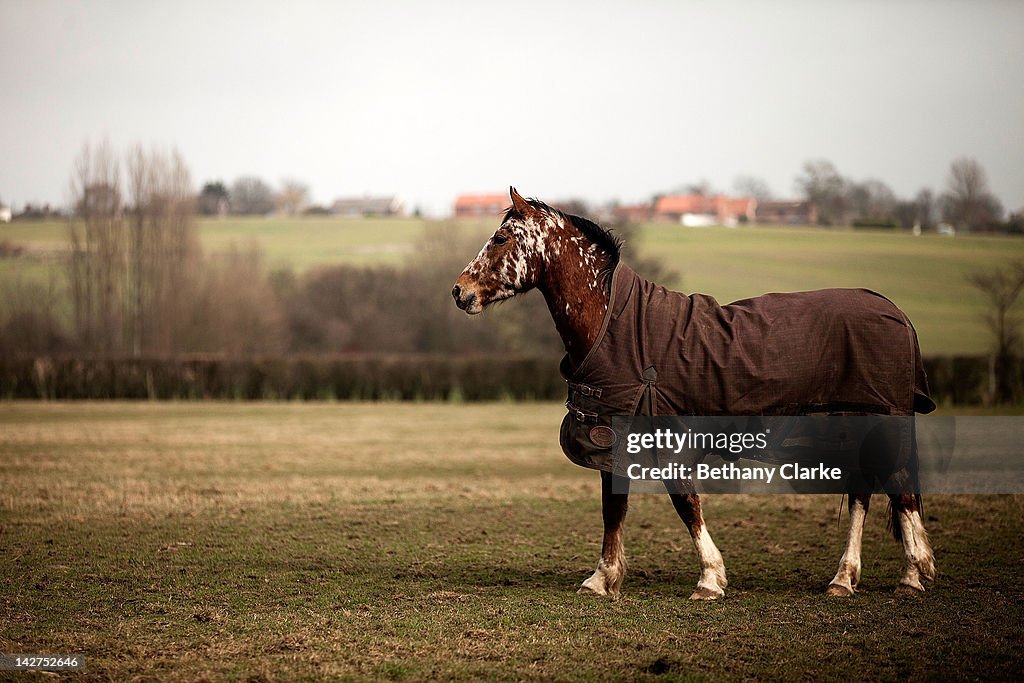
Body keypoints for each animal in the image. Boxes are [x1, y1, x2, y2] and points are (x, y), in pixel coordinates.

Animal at [452, 187, 937, 598]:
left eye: (500, 238)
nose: (460, 291)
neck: (618, 328)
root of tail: (897, 315)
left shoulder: (665, 439)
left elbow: (684, 501)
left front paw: (709, 579)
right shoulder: (615, 440)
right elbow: (614, 506)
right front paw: (603, 579)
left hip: (873, 426)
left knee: (896, 493)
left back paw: (906, 575)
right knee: (868, 494)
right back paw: (855, 579)